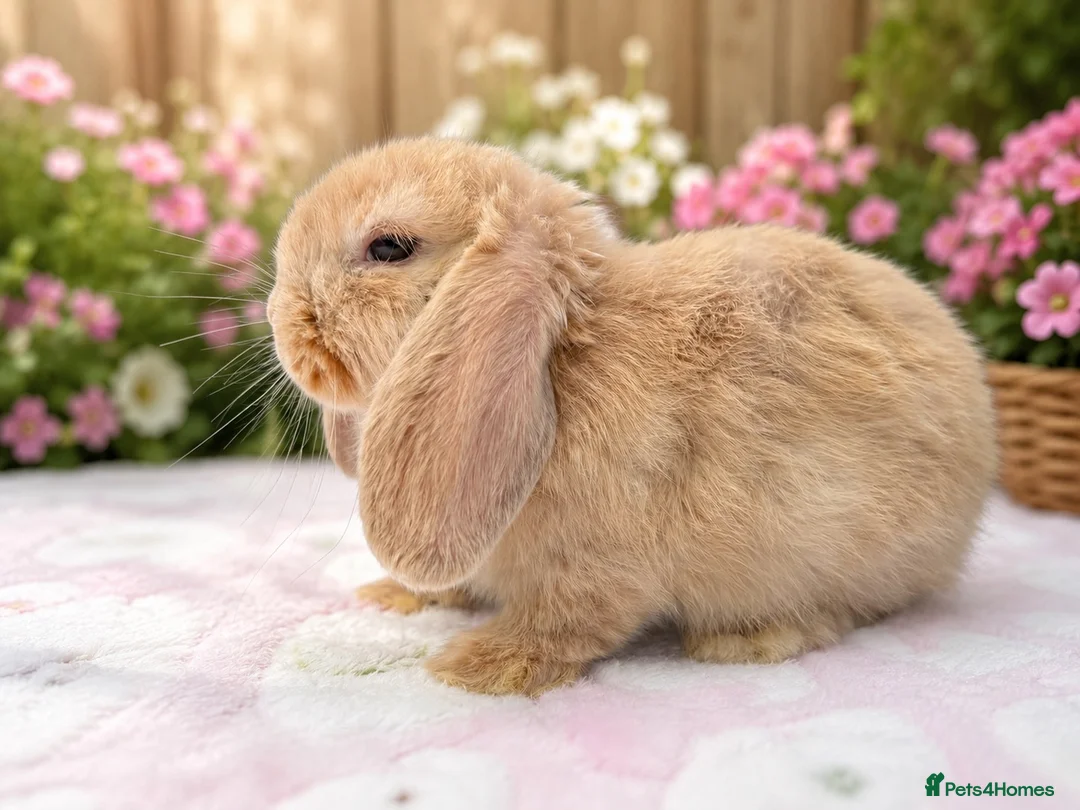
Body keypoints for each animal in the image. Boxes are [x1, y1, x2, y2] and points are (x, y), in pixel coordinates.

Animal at [267, 136, 997, 696]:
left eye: (389, 248)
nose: (278, 320)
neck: (563, 354)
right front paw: (396, 595)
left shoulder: (603, 563)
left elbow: (568, 621)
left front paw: (476, 668)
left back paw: (748, 640)